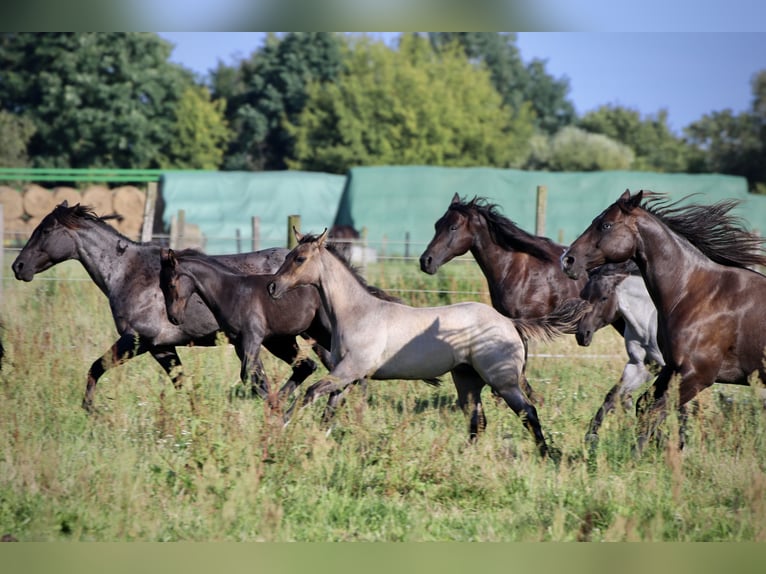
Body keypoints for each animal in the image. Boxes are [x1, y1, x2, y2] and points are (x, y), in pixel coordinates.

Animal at [11, 200, 306, 412]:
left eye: (45, 230)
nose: (18, 266)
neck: (127, 273)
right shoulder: (161, 348)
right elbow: (182, 383)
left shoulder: (137, 339)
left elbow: (96, 366)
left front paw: (91, 410)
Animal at [159, 249, 332, 404]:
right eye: (161, 286)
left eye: (171, 285)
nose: (174, 317)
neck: (230, 292)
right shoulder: (239, 343)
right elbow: (255, 376)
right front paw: (271, 403)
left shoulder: (252, 339)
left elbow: (248, 374)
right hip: (281, 342)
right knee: (307, 366)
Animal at [268, 230, 592, 460]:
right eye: (288, 256)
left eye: (299, 259)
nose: (272, 287)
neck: (357, 313)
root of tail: (509, 323)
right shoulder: (347, 376)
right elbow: (329, 410)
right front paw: (318, 440)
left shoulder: (350, 370)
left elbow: (310, 392)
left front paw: (284, 424)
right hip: (467, 381)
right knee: (477, 421)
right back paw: (463, 458)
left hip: (503, 382)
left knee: (528, 413)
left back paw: (546, 455)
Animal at [580, 260, 664, 440]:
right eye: (583, 296)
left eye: (604, 297)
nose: (582, 335)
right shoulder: (641, 366)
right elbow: (614, 396)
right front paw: (591, 436)